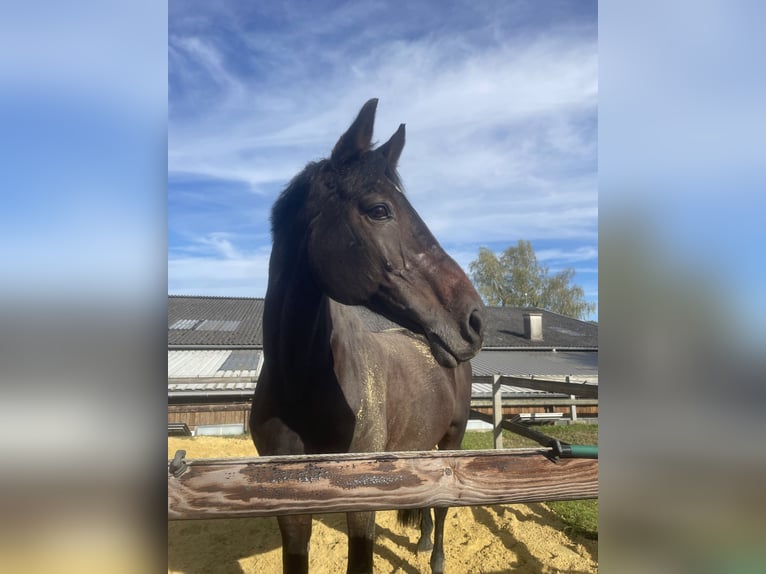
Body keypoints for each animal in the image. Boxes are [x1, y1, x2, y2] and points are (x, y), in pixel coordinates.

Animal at [255, 100, 488, 574]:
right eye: (379, 209)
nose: (474, 319)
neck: (301, 386)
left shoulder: (362, 499)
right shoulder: (289, 507)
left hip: (453, 439)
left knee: (442, 506)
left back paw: (435, 557)